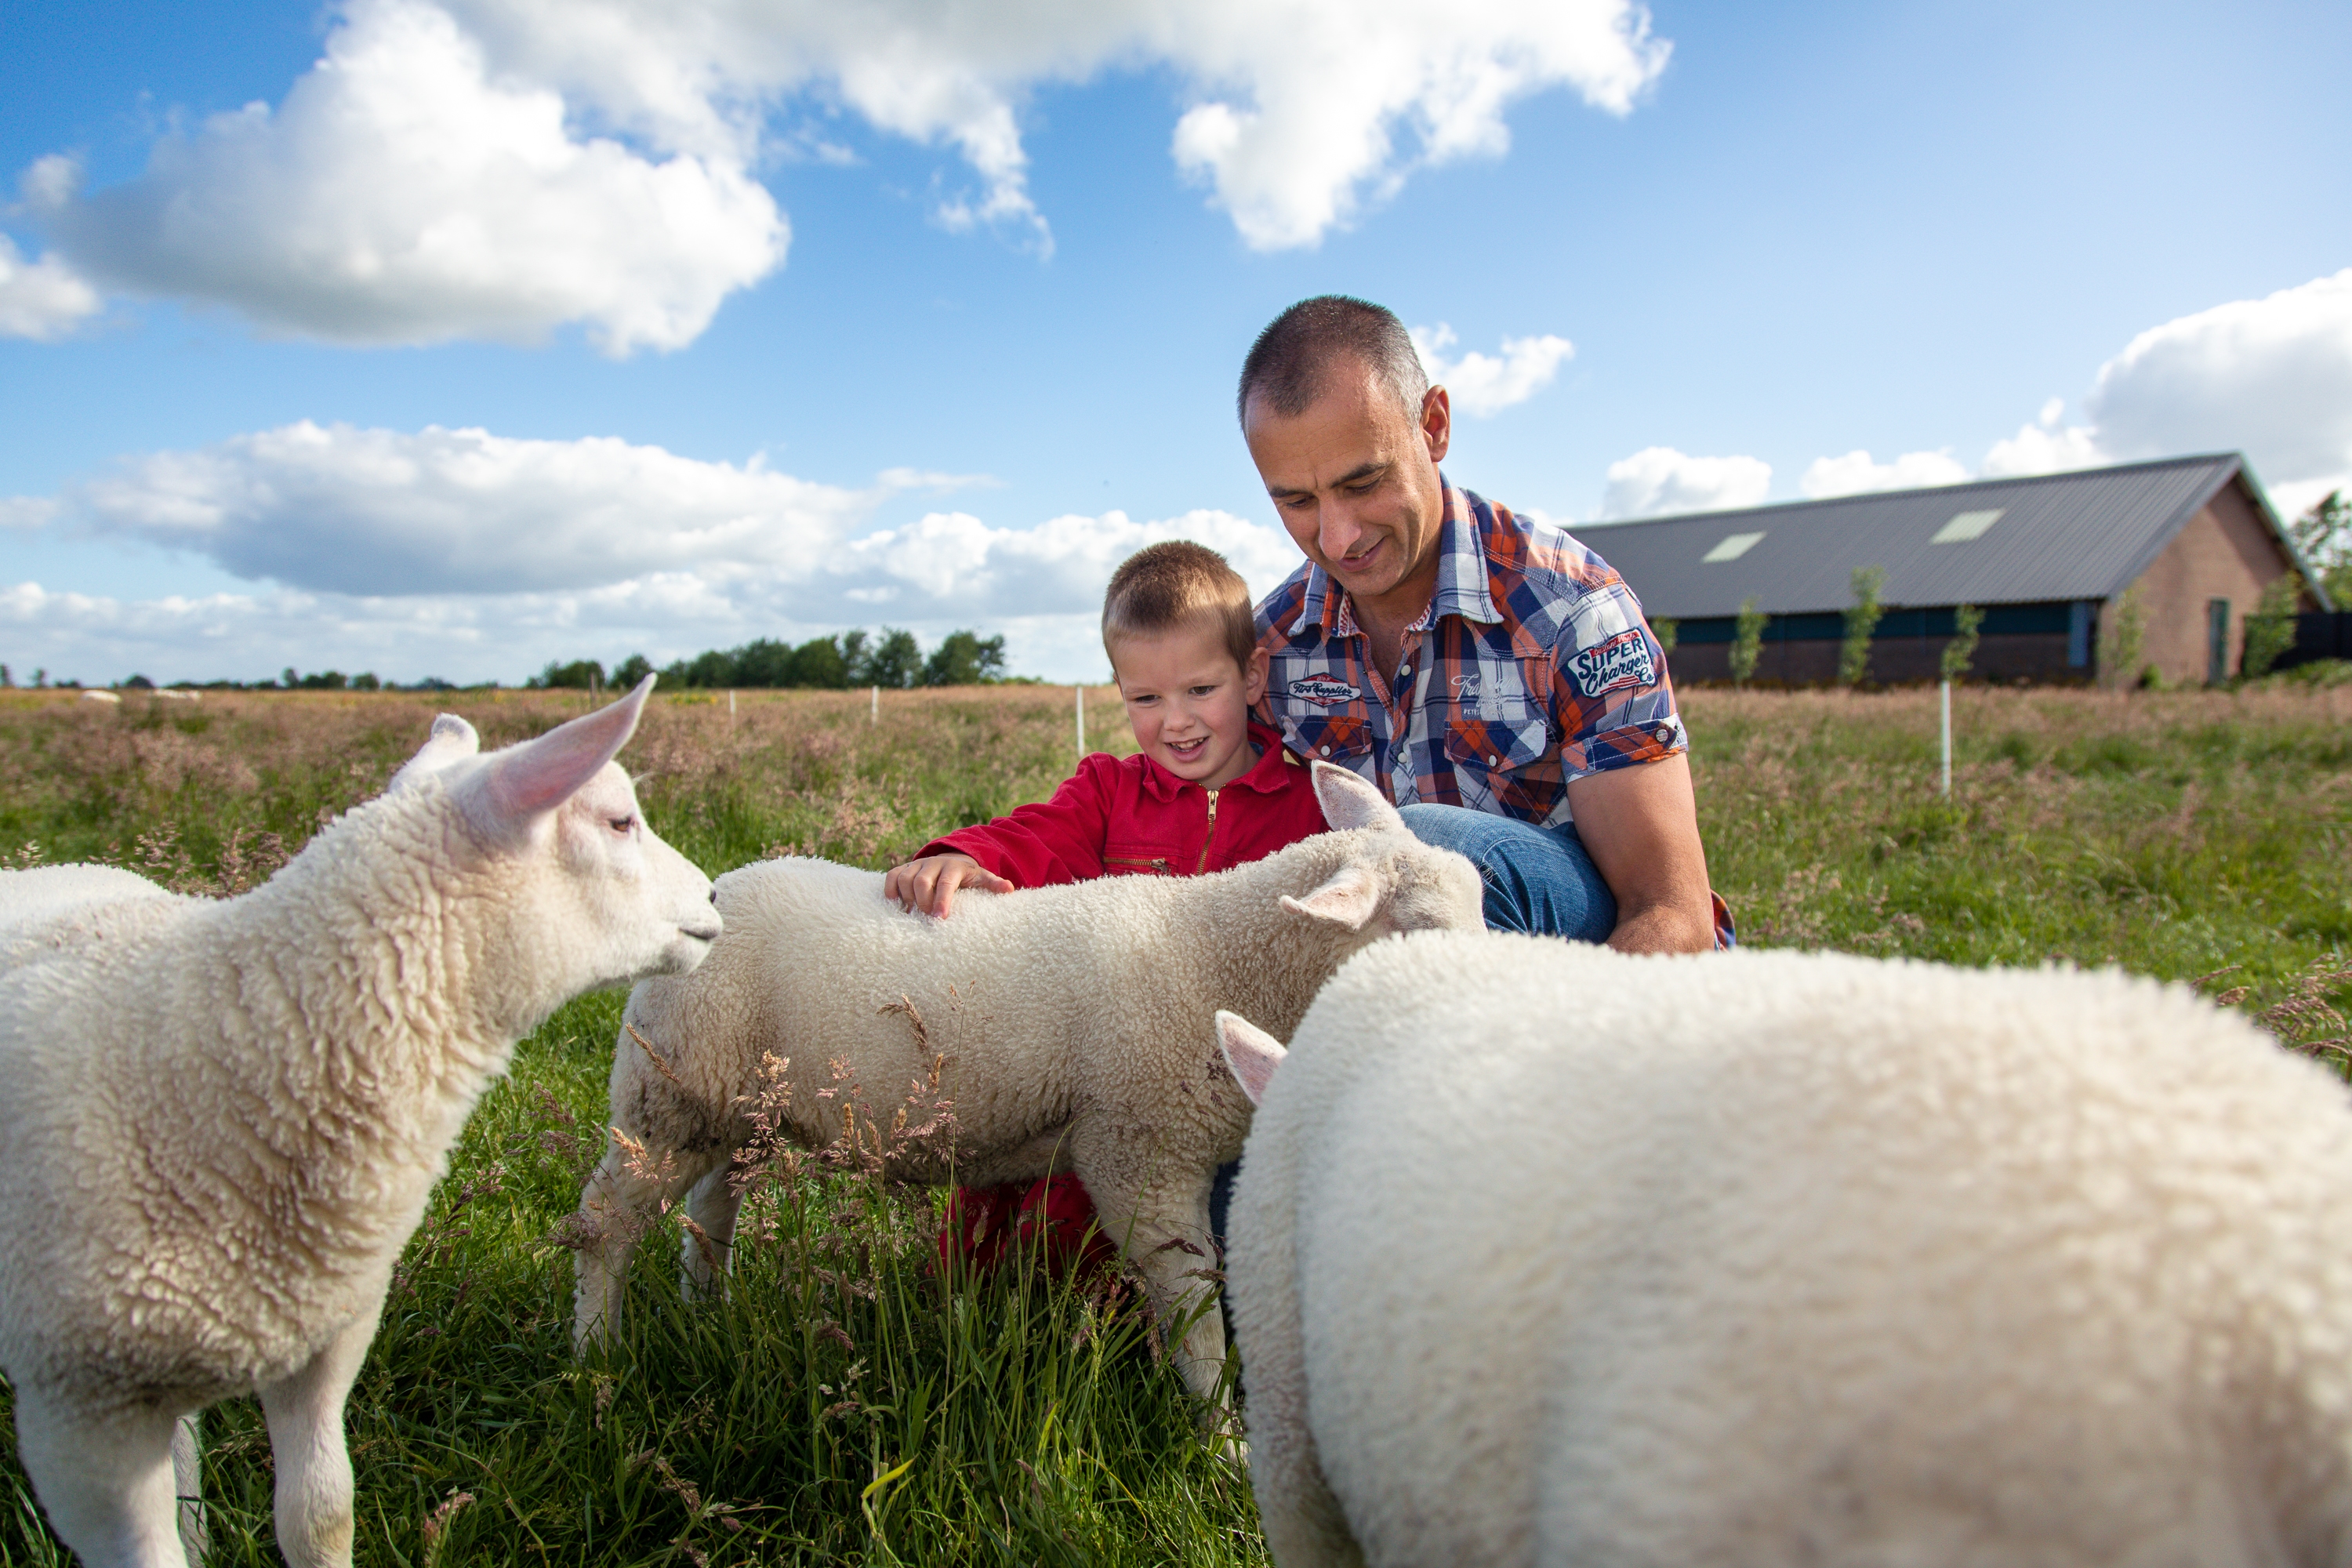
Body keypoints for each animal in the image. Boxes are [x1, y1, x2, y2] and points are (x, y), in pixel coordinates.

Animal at [572, 761, 1477, 1401]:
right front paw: (1218, 1444)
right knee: (603, 1225)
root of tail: (717, 888)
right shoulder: (1139, 1156)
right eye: (1420, 925)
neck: (1219, 955)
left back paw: (707, 1315)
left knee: (710, 1211)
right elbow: (1195, 1319)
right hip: (668, 1095)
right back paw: (595, 1362)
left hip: (736, 1107)